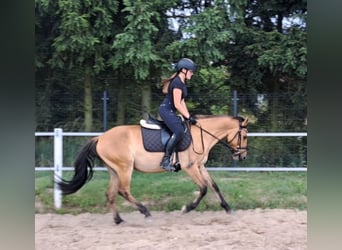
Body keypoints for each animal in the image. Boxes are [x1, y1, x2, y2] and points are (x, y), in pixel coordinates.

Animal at [56, 115, 248, 225]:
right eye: (245, 136)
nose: (242, 157)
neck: (201, 135)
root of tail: (100, 137)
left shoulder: (200, 166)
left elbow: (214, 186)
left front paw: (228, 208)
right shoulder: (190, 167)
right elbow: (203, 189)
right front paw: (186, 208)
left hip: (115, 170)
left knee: (111, 194)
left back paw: (119, 220)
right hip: (125, 168)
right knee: (123, 191)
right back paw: (145, 212)